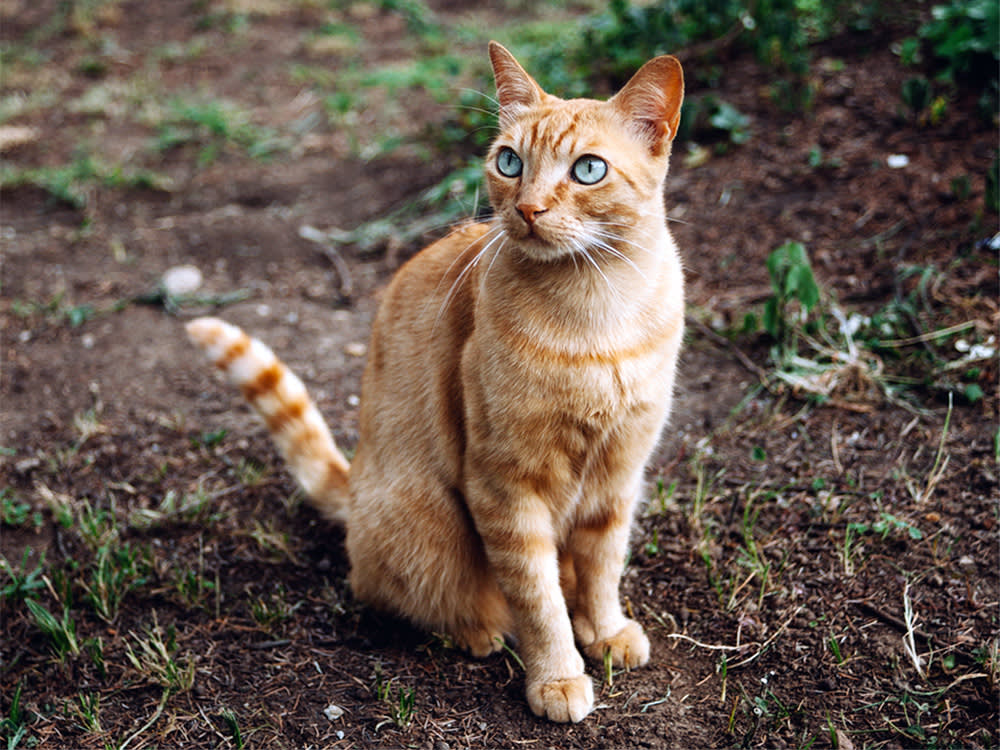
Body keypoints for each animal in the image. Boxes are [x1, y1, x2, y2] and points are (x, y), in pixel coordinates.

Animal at [187, 44, 684, 724]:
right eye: (509, 161)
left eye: (588, 170)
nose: (528, 209)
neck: (599, 315)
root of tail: (357, 484)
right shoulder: (505, 489)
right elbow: (537, 598)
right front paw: (557, 676)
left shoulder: (619, 476)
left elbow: (603, 566)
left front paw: (604, 630)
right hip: (429, 524)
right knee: (404, 594)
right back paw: (477, 630)